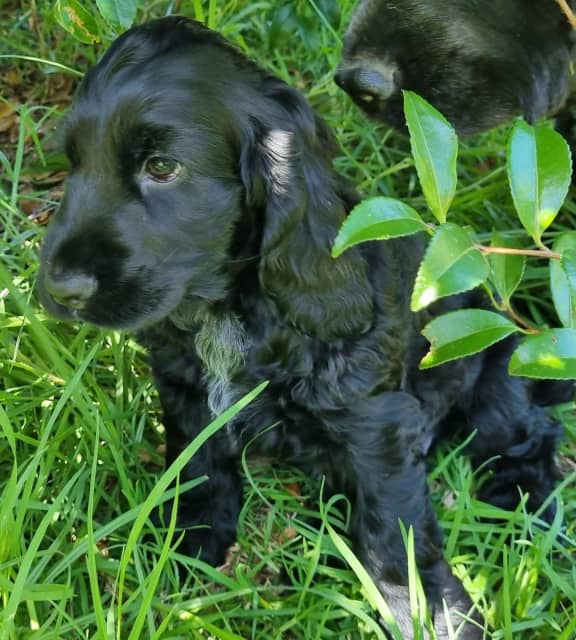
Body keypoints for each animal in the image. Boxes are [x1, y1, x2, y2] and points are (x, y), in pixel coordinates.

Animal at [39, 16, 564, 640]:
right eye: (73, 162)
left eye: (162, 167)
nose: (60, 289)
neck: (230, 308)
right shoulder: (187, 394)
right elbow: (199, 471)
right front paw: (186, 554)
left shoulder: (377, 422)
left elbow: (394, 531)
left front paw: (432, 612)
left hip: (494, 371)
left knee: (531, 433)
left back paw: (523, 503)